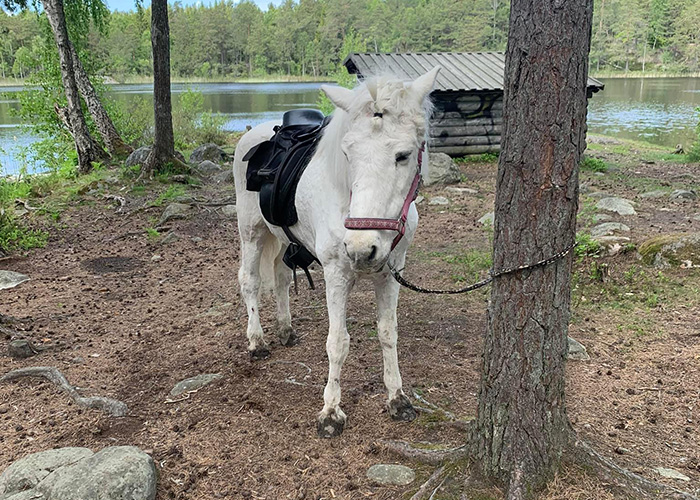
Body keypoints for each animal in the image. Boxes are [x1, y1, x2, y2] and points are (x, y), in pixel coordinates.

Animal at [232, 67, 438, 438]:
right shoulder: (336, 274)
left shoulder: (391, 272)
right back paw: (257, 342)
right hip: (252, 233)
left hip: (283, 238)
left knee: (281, 277)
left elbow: (388, 333)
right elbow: (338, 342)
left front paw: (397, 398)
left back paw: (285, 330)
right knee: (250, 281)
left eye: (403, 155)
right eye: (348, 155)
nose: (361, 249)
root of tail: (254, 133)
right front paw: (330, 412)